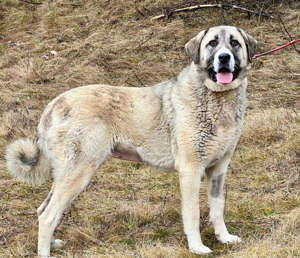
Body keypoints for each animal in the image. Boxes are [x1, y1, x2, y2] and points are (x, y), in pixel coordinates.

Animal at [5, 25, 255, 256]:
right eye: (212, 43)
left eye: (234, 43)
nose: (224, 57)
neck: (216, 98)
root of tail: (54, 104)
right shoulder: (190, 170)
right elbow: (192, 213)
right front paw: (197, 247)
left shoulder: (218, 169)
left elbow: (218, 207)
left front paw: (224, 237)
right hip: (78, 172)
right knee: (48, 215)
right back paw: (45, 252)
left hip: (67, 173)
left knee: (42, 209)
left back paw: (53, 243)